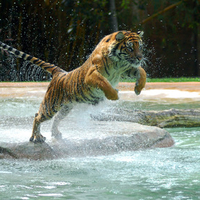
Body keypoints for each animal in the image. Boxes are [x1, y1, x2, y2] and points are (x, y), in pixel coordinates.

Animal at [0, 30, 147, 142]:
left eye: (139, 47)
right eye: (130, 48)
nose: (140, 57)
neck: (118, 62)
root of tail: (59, 72)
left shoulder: (127, 68)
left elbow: (142, 72)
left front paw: (138, 89)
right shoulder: (92, 74)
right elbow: (104, 82)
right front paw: (114, 95)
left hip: (66, 107)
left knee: (56, 119)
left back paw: (55, 134)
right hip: (51, 105)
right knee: (37, 116)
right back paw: (37, 137)